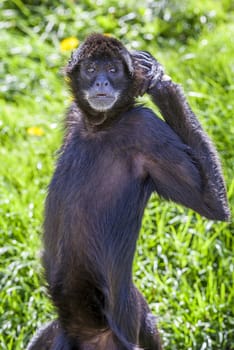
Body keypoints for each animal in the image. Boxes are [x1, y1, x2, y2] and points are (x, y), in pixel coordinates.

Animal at [27, 33, 229, 350]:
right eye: (91, 69)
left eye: (112, 70)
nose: (101, 83)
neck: (101, 126)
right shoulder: (76, 115)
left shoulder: (144, 127)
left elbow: (214, 205)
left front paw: (158, 78)